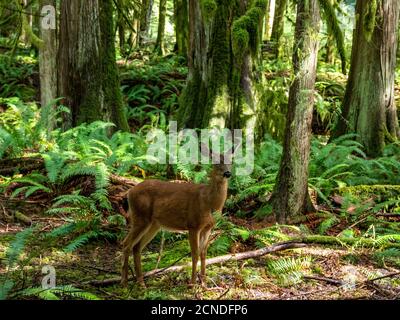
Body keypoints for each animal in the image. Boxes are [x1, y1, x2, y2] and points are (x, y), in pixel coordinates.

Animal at [121, 143, 234, 288]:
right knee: (126, 244)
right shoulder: (193, 224)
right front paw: (192, 284)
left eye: (231, 161)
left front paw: (204, 284)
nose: (227, 173)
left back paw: (141, 283)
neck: (209, 202)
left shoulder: (208, 228)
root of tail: (129, 192)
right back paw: (124, 282)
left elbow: (203, 253)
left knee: (136, 247)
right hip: (140, 217)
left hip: (153, 224)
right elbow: (195, 254)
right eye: (215, 162)